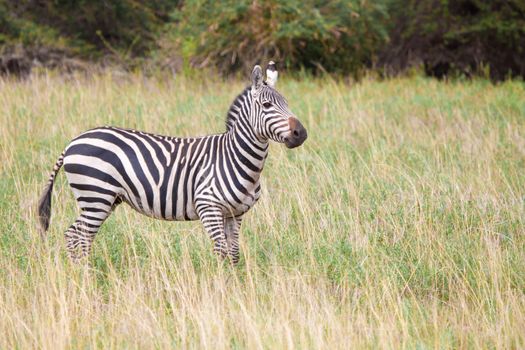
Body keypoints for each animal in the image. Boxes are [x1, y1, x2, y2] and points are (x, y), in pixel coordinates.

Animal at [37, 64, 308, 264]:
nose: (301, 134)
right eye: (267, 105)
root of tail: (72, 143)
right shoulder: (208, 207)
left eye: (287, 103)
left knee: (74, 234)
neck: (235, 158)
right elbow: (220, 252)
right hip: (96, 196)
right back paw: (86, 277)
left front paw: (235, 285)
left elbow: (233, 254)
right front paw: (221, 290)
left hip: (104, 199)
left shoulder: (235, 213)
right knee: (80, 237)